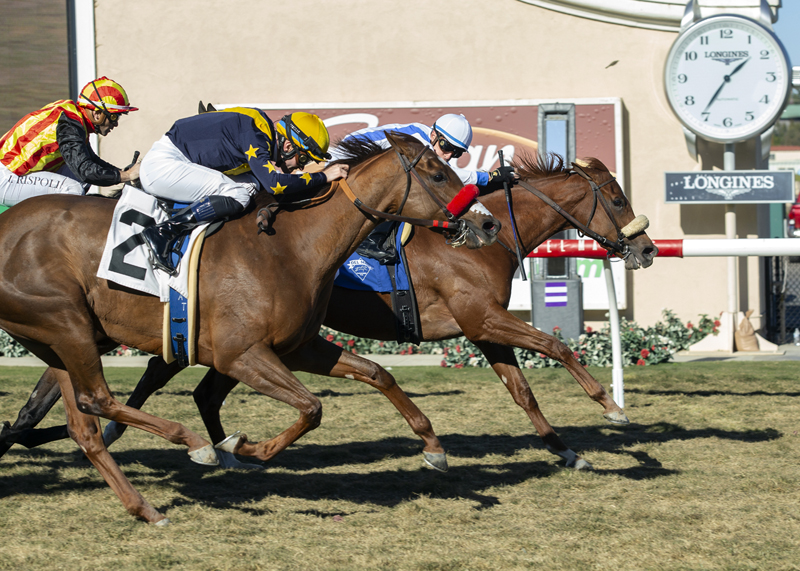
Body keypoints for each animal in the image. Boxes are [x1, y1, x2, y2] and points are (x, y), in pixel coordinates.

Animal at [0, 133, 500, 524]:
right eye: (438, 175)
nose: (488, 222)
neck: (293, 246)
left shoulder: (300, 347)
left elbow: (378, 374)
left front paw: (433, 446)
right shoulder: (240, 354)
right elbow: (312, 407)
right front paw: (239, 449)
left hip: (56, 339)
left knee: (82, 424)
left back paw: (145, 507)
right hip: (67, 323)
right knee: (98, 400)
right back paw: (194, 444)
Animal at [3, 152, 656, 474]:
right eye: (617, 196)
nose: (647, 248)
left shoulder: (480, 327)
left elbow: (522, 390)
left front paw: (565, 449)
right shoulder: (481, 318)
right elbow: (558, 345)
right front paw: (613, 409)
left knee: (186, 392)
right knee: (137, 387)